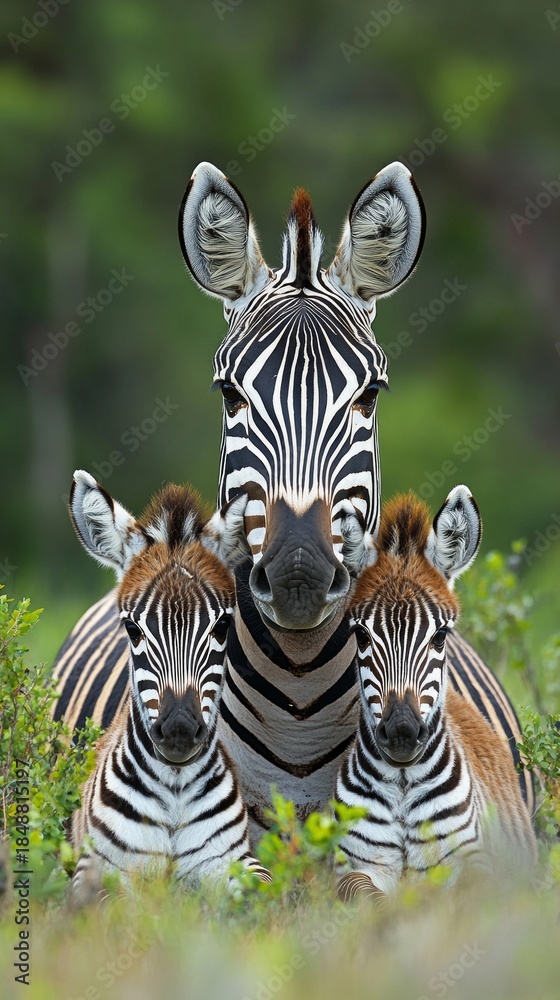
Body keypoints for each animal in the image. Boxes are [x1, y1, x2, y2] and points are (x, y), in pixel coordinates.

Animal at [68, 470, 271, 897]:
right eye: (132, 630)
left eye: (222, 627)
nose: (179, 729)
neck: (175, 793)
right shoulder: (93, 869)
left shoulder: (235, 860)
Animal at [335, 486, 537, 900]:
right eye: (360, 635)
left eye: (441, 635)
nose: (401, 732)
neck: (402, 785)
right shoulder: (354, 867)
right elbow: (366, 897)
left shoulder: (475, 864)